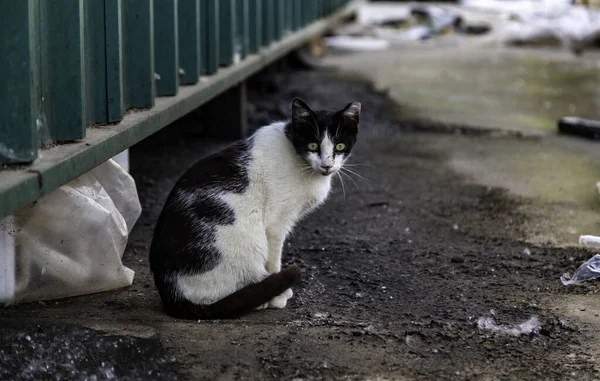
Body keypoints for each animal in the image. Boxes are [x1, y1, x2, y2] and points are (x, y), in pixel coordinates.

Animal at [149, 98, 360, 318]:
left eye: (340, 146)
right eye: (313, 145)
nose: (327, 165)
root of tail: (170, 294)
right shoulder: (275, 224)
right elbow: (274, 261)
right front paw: (278, 295)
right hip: (246, 240)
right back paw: (261, 296)